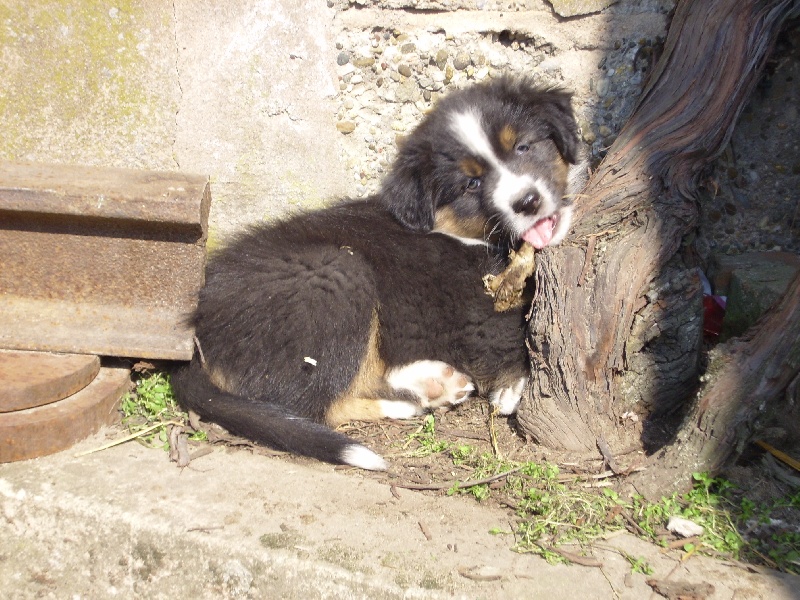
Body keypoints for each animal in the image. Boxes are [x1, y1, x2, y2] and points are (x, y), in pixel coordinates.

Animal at [172, 77, 583, 470]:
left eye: (524, 147)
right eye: (472, 184)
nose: (527, 202)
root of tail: (199, 333)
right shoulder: (478, 318)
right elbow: (516, 341)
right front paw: (514, 386)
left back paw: (432, 385)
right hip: (339, 274)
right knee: (313, 404)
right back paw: (411, 399)